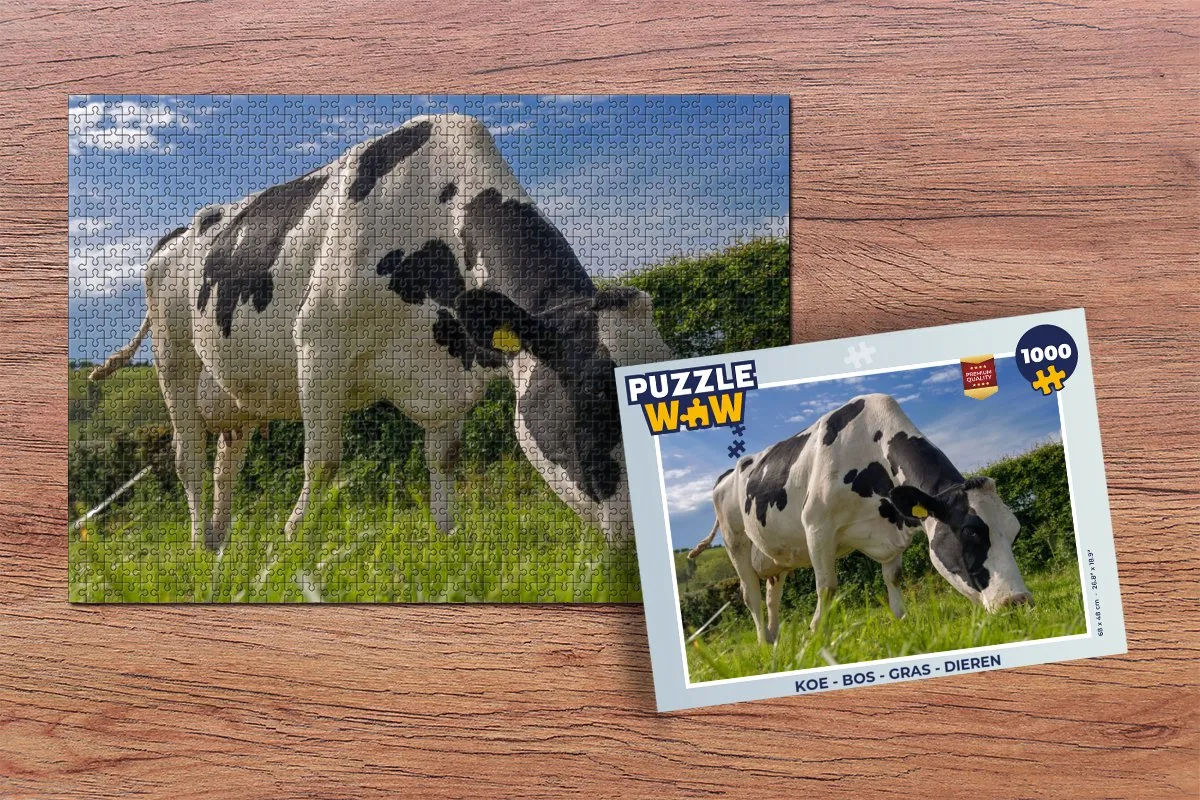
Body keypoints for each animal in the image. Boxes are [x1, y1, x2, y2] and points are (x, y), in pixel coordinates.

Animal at [90, 113, 671, 549]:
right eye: (594, 399)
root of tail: (177, 233)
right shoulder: (319, 344)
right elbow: (323, 460)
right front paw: (293, 541)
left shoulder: (447, 374)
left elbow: (444, 459)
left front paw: (448, 540)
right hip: (174, 360)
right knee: (188, 457)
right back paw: (196, 547)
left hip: (236, 393)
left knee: (225, 462)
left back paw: (219, 546)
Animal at [688, 393, 1032, 644]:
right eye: (969, 532)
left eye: (1015, 532)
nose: (1018, 602)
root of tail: (728, 472)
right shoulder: (817, 526)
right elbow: (827, 586)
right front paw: (817, 635)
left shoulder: (893, 532)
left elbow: (893, 578)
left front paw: (902, 621)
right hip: (735, 542)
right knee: (752, 595)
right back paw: (762, 643)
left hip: (773, 555)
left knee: (773, 594)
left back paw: (775, 641)